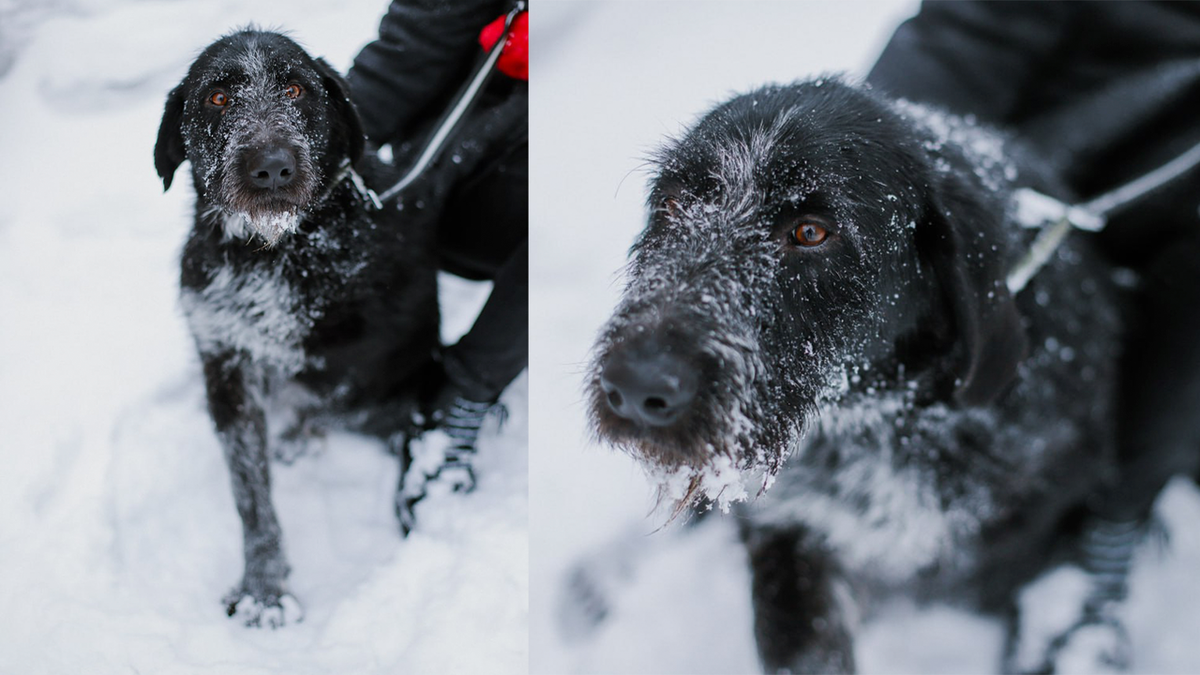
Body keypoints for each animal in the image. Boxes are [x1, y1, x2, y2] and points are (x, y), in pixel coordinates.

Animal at [152, 30, 513, 624]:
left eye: (296, 88)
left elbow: (320, 402)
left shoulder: (343, 363)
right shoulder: (227, 362)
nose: (272, 168)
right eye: (217, 98)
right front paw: (264, 589)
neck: (277, 252)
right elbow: (251, 495)